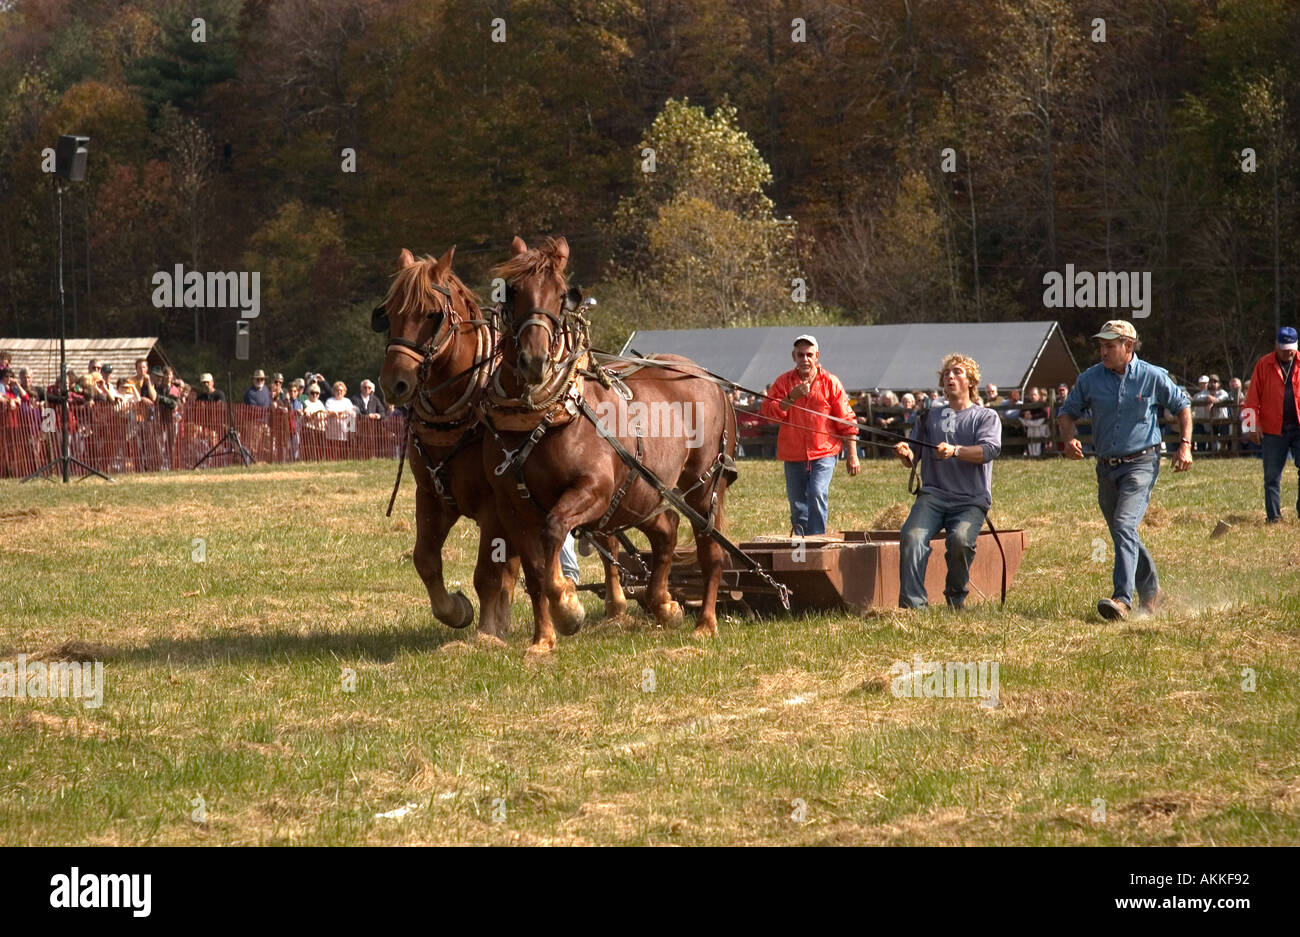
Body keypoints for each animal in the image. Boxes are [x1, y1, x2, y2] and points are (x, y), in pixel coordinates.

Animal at [375, 247, 520, 637]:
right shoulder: (431, 495)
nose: (394, 383)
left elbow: (488, 574)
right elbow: (425, 560)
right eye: (388, 314)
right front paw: (456, 610)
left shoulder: (494, 505)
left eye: (431, 313)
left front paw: (487, 633)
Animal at [480, 235, 737, 654]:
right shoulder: (512, 507)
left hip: (699, 485)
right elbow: (534, 573)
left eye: (562, 294)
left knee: (709, 547)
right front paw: (543, 639)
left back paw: (706, 622)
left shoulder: (594, 490)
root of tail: (709, 378)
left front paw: (567, 606)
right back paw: (663, 604)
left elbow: (553, 530)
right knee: (666, 529)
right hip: (642, 489)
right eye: (512, 291)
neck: (549, 412)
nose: (534, 360)